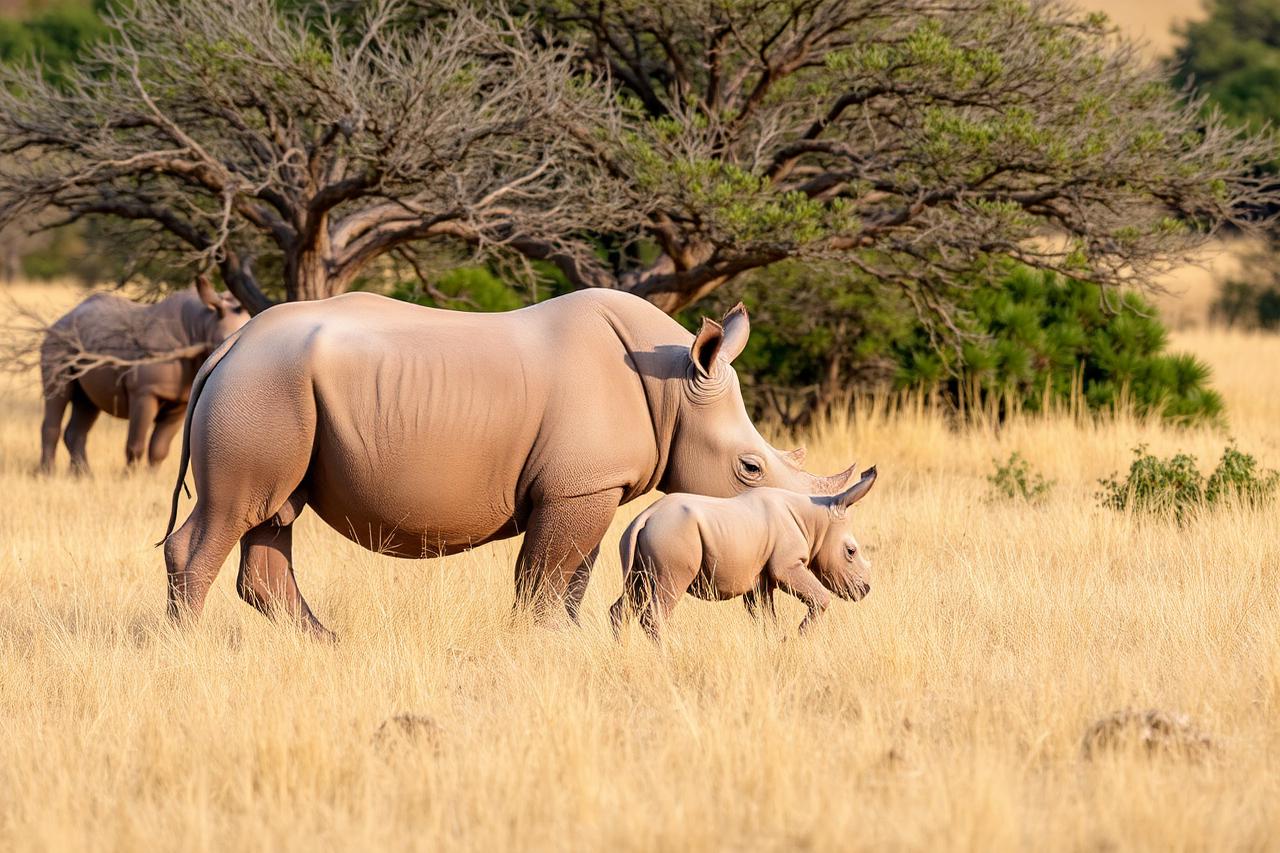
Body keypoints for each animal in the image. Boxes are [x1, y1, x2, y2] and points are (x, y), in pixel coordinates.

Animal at [39, 277, 248, 474]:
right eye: (222, 343)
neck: (203, 324)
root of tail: (63, 318)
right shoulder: (145, 391)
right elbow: (135, 443)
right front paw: (128, 478)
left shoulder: (180, 401)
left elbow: (160, 448)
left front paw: (150, 478)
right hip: (57, 342)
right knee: (57, 394)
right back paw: (48, 474)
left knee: (86, 403)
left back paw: (83, 476)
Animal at [610, 466, 877, 640]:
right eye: (851, 552)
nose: (865, 590)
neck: (815, 520)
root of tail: (645, 517)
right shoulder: (787, 565)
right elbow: (820, 596)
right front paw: (800, 637)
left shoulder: (761, 579)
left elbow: (765, 616)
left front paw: (777, 642)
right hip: (671, 535)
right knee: (665, 593)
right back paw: (668, 655)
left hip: (643, 538)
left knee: (634, 591)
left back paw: (622, 650)